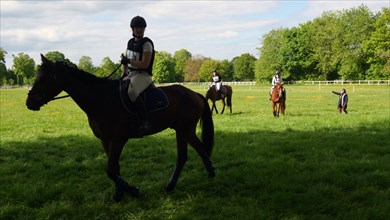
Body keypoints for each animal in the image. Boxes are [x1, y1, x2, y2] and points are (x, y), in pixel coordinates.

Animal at [26, 54, 216, 201]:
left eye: (42, 79)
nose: (29, 103)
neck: (100, 98)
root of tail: (195, 94)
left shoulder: (119, 139)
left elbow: (110, 169)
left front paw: (133, 191)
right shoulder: (106, 140)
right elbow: (114, 168)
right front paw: (119, 194)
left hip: (182, 131)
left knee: (182, 157)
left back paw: (170, 186)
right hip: (186, 130)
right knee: (201, 149)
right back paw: (211, 174)